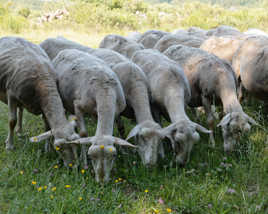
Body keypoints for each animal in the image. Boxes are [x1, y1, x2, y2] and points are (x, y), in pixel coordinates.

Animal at [0, 36, 80, 166]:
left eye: (76, 144)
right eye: (59, 147)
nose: (74, 167)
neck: (43, 80)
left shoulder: (43, 105)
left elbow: (47, 127)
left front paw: (47, 150)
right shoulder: (11, 95)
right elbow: (12, 121)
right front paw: (9, 146)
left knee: (21, 110)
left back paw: (20, 131)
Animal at [51, 49, 136, 182]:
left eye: (114, 155)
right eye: (90, 156)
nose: (101, 182)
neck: (104, 89)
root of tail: (66, 50)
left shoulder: (117, 110)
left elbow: (121, 129)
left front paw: (126, 154)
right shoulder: (78, 106)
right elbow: (83, 134)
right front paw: (84, 163)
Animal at [98, 34, 211, 166]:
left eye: (194, 142)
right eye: (178, 141)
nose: (181, 164)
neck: (173, 87)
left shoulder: (183, 102)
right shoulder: (154, 107)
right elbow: (159, 125)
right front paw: (161, 152)